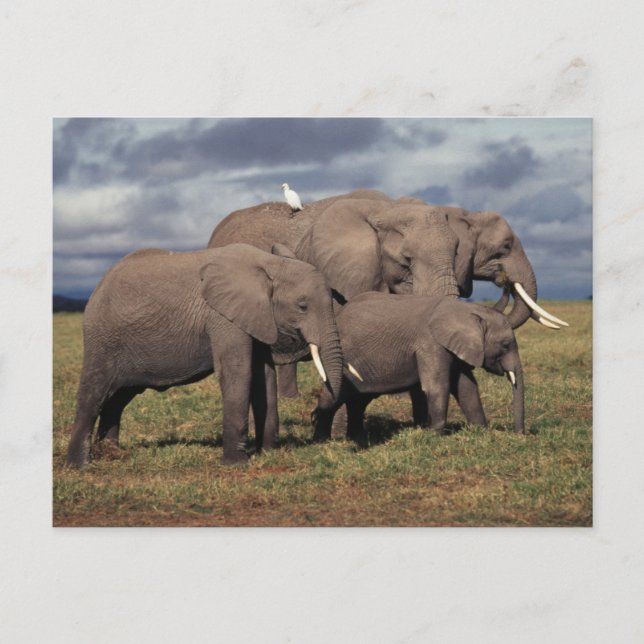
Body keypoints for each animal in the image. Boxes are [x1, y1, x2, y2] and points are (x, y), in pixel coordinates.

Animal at [65, 243, 344, 466]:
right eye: (302, 306)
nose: (314, 417)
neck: (269, 264)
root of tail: (97, 286)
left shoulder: (256, 317)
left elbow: (263, 376)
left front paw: (269, 453)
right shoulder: (221, 316)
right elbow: (238, 371)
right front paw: (236, 464)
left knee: (118, 398)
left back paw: (111, 453)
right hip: (102, 337)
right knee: (95, 392)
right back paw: (80, 465)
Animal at [312, 292, 525, 444]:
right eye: (505, 345)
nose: (519, 435)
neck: (466, 310)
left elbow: (466, 388)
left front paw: (480, 430)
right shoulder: (430, 344)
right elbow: (437, 387)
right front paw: (435, 435)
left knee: (358, 401)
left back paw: (357, 437)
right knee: (333, 398)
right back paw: (322, 440)